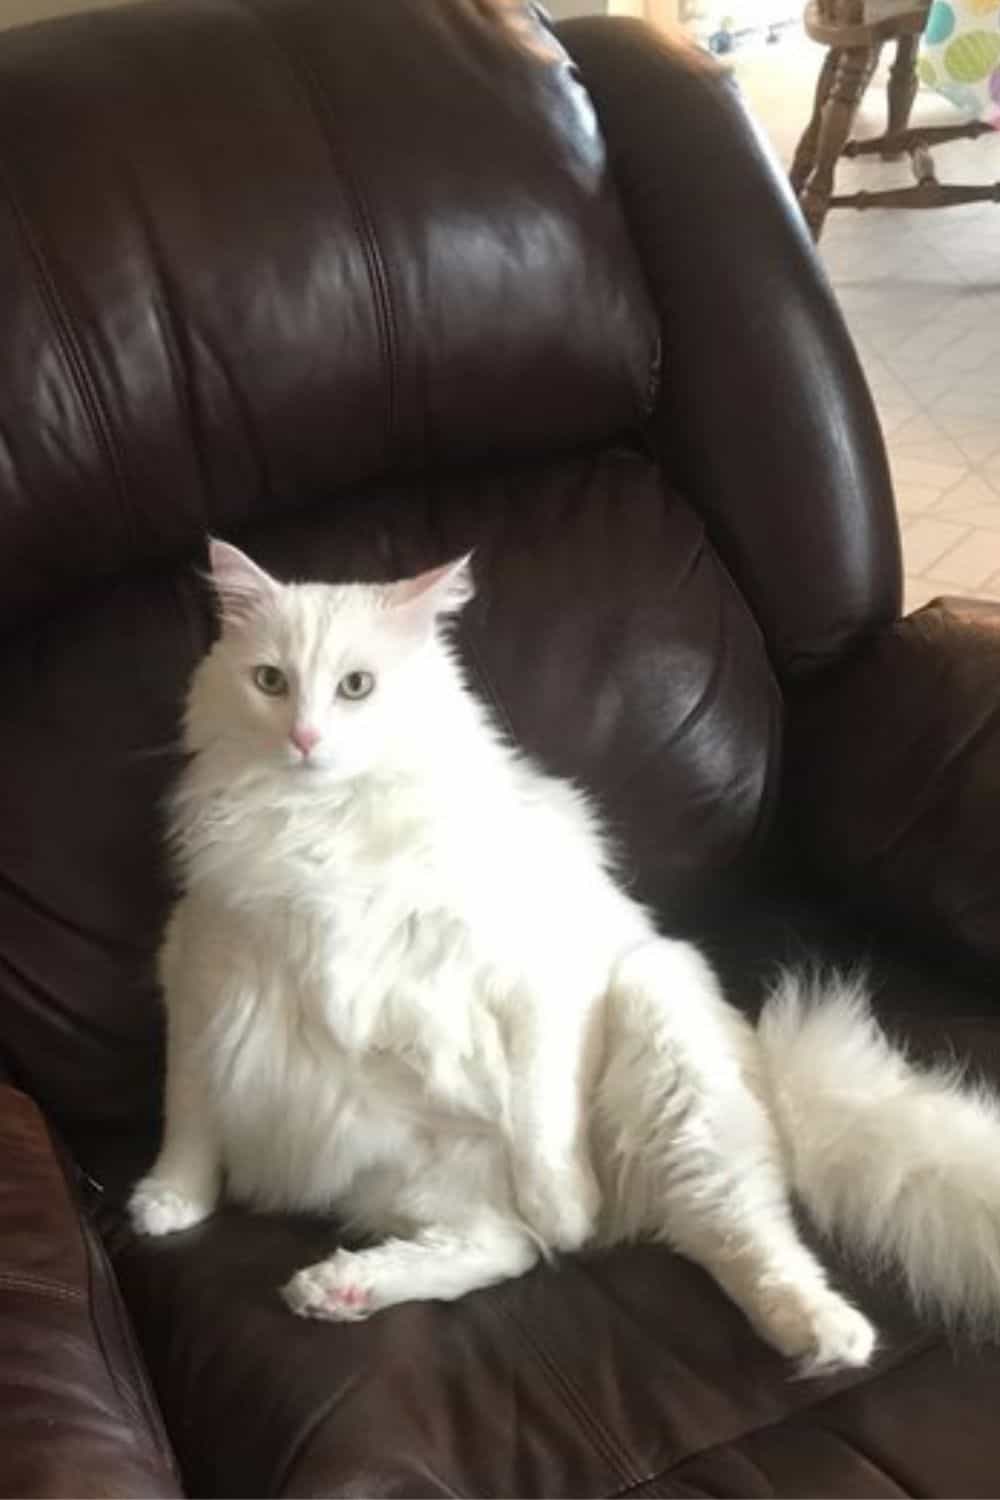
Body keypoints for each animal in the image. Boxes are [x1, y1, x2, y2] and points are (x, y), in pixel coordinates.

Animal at [131, 540, 1000, 1374]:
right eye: (269, 681)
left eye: (355, 687)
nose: (304, 739)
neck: (324, 820)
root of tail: (765, 1062)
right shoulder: (202, 965)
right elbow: (190, 1113)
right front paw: (169, 1202)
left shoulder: (538, 981)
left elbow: (542, 1117)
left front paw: (567, 1208)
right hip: (411, 1163)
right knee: (505, 1248)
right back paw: (340, 1288)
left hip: (664, 1034)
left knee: (732, 1231)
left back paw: (823, 1333)